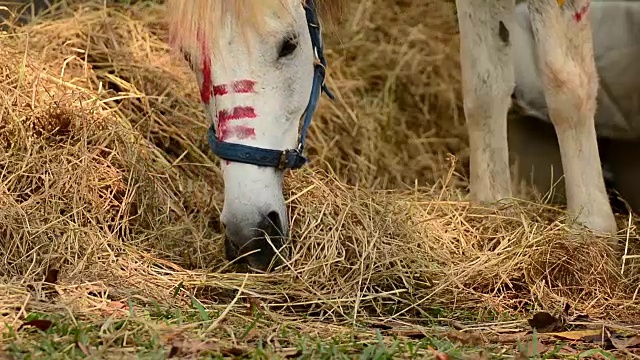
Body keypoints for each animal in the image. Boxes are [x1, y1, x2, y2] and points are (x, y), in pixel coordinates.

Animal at [168, 0, 616, 270]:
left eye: (289, 45)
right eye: (189, 57)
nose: (249, 235)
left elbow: (566, 85)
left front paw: (591, 232)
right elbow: (484, 87)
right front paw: (492, 216)